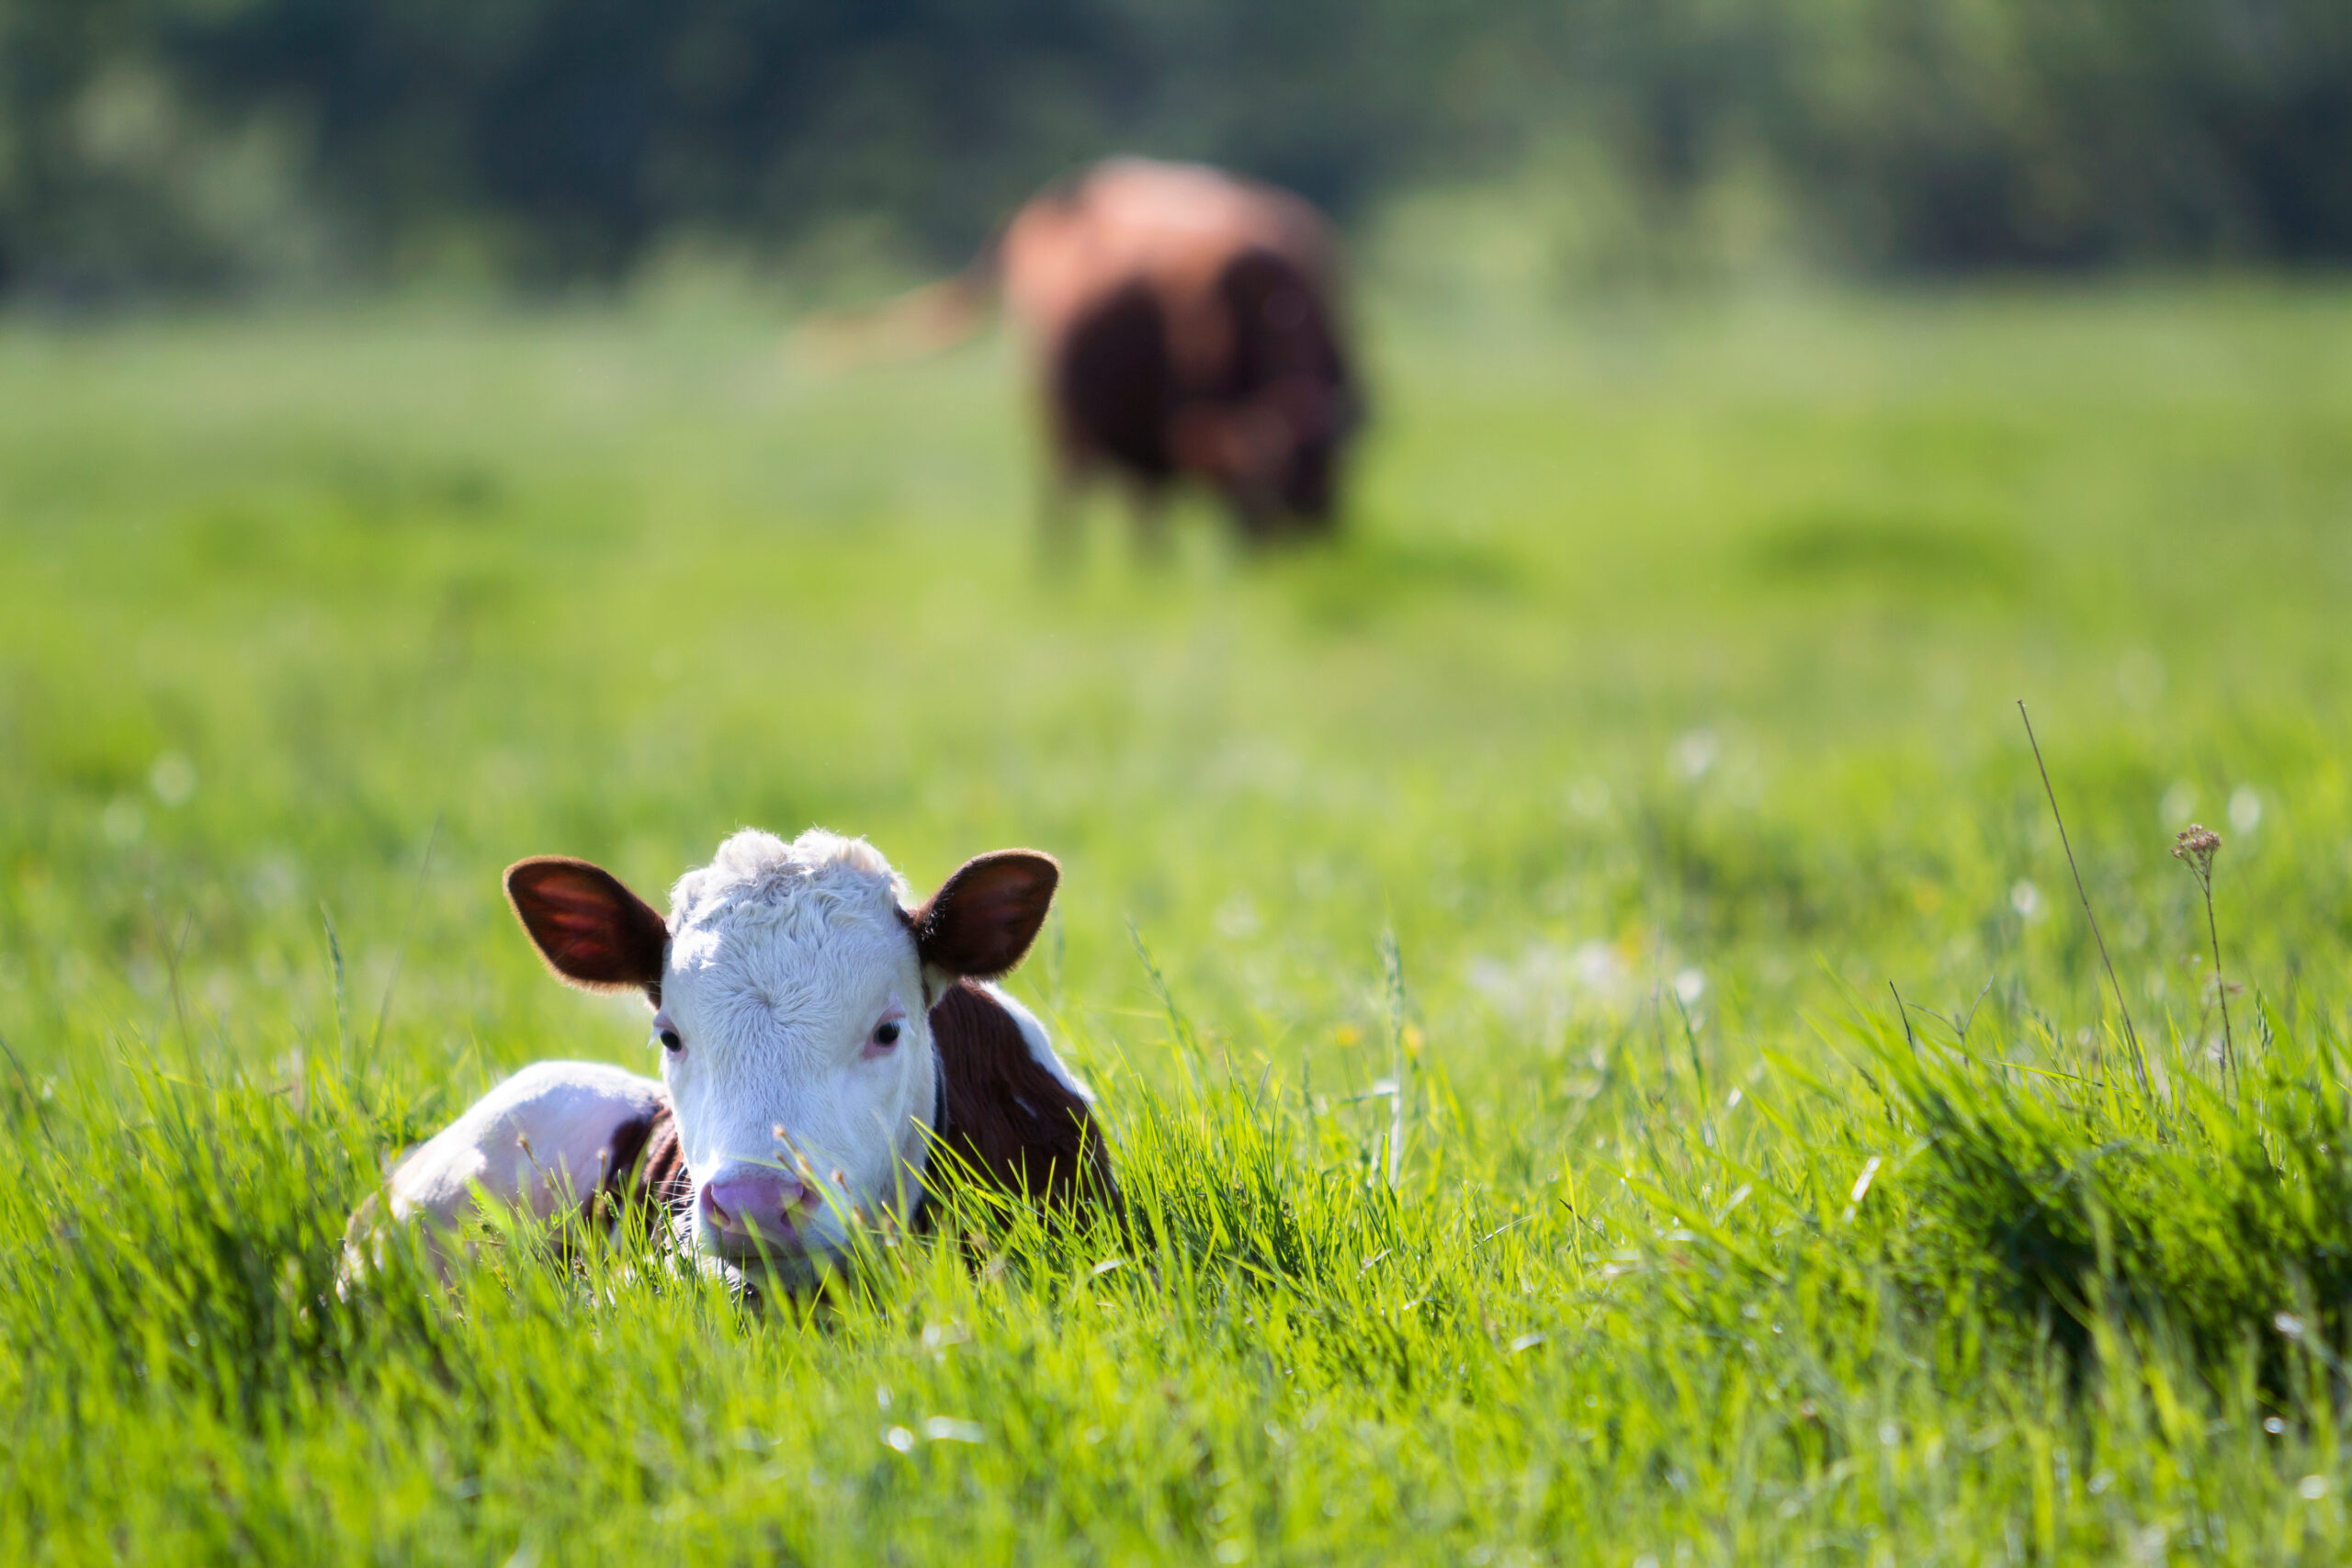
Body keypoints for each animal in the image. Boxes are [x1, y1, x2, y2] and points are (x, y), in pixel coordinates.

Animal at [808, 160, 1363, 549]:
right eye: (1265, 482)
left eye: (1326, 470)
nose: (1309, 542)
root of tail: (1045, 205)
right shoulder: (1155, 426)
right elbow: (1145, 501)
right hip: (1054, 415)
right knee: (1063, 494)